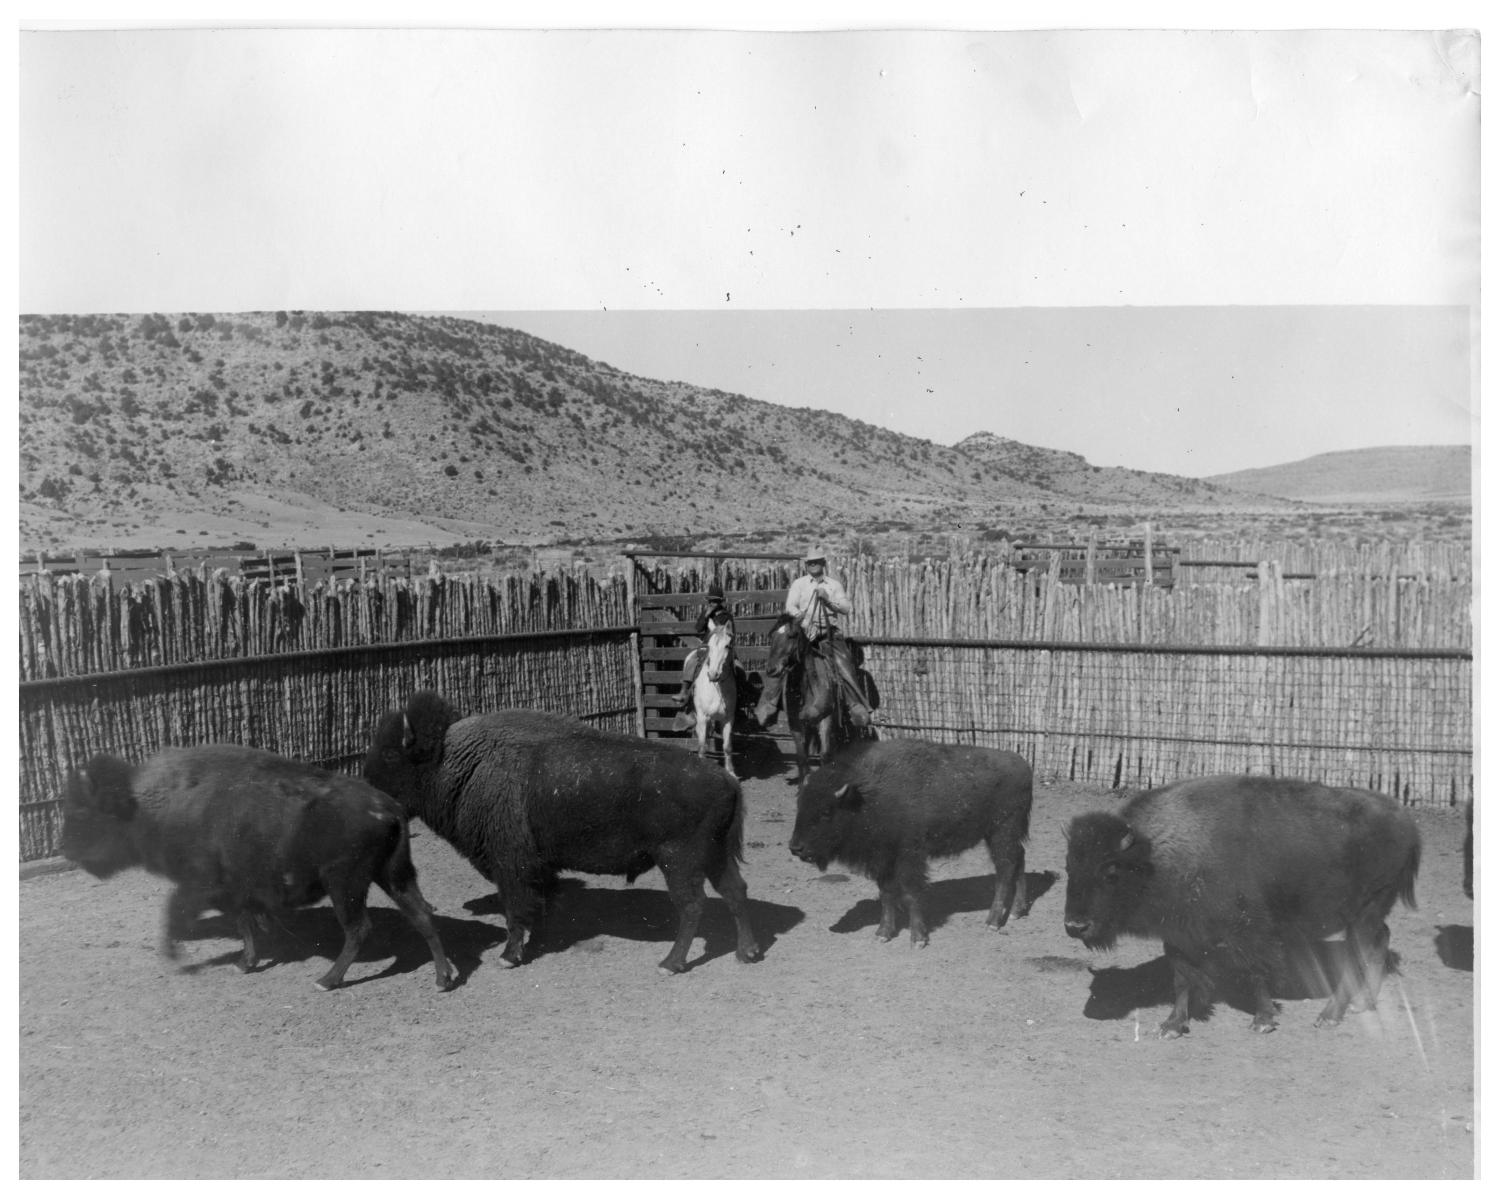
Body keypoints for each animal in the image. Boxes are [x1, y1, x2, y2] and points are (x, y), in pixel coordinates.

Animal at [60, 745, 456, 991]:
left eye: (82, 812)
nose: (66, 848)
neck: (142, 803)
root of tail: (389, 807)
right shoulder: (236, 892)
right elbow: (245, 923)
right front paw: (246, 961)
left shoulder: (201, 886)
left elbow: (176, 913)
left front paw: (179, 958)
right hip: (393, 875)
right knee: (420, 914)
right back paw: (442, 978)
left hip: (346, 884)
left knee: (360, 928)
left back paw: (326, 981)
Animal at [363, 691, 762, 973]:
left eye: (390, 755)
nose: (367, 789)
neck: (457, 760)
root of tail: (726, 779)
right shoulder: (540, 866)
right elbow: (542, 904)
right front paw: (540, 942)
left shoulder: (511, 866)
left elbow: (516, 909)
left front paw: (509, 956)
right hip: (715, 856)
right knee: (735, 892)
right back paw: (748, 952)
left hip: (679, 862)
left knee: (693, 905)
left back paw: (670, 964)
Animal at [788, 737, 1034, 946]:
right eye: (800, 806)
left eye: (826, 812)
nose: (795, 847)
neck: (865, 795)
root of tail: (1023, 765)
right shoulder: (883, 860)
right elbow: (886, 895)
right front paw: (883, 933)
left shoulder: (908, 857)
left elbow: (910, 894)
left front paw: (918, 938)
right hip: (1004, 835)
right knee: (1019, 861)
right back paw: (1017, 911)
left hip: (1001, 833)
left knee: (1005, 871)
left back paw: (992, 922)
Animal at [1064, 773, 1421, 1038]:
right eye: (1069, 868)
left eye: (1110, 872)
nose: (1075, 926)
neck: (1153, 855)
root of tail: (1404, 819)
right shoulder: (1178, 936)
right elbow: (1182, 980)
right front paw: (1172, 1025)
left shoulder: (1248, 933)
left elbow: (1256, 973)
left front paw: (1263, 1020)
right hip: (1370, 913)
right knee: (1379, 942)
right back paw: (1363, 1003)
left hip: (1364, 911)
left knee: (1355, 956)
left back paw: (1329, 1015)